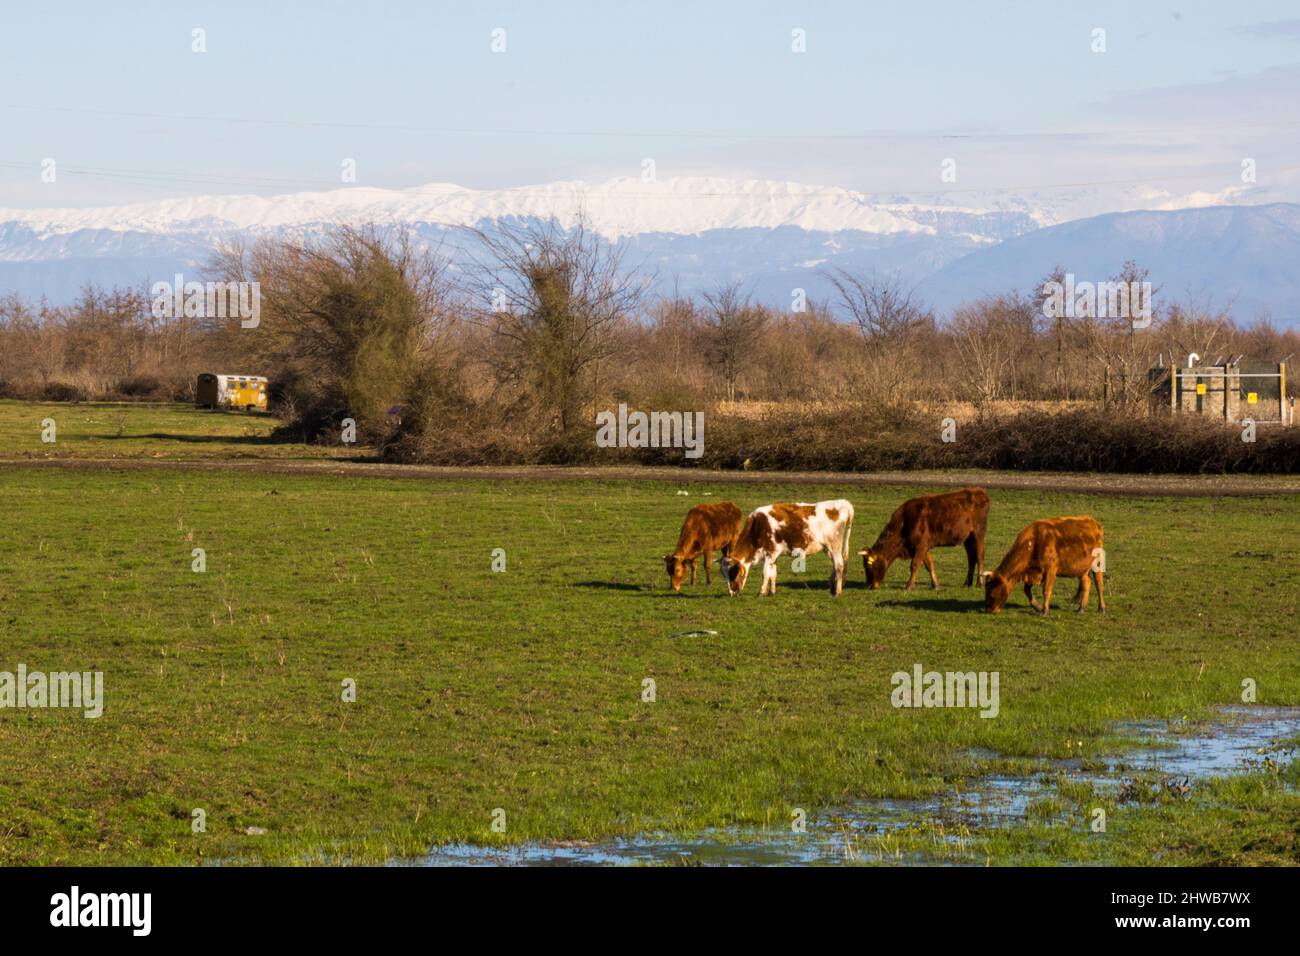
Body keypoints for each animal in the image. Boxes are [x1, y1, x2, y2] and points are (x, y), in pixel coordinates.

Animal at [723, 500, 854, 597]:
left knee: (839, 565)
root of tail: (843, 503)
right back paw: (833, 587)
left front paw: (761, 593)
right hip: (828, 548)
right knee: (835, 565)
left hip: (834, 546)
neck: (757, 526)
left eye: (733, 573)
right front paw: (772, 592)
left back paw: (837, 592)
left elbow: (765, 573)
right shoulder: (773, 555)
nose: (732, 593)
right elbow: (773, 573)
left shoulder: (770, 552)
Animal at [859, 487, 990, 591]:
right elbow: (929, 564)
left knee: (979, 556)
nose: (869, 586)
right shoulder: (923, 546)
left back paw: (979, 583)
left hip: (978, 533)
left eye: (869, 566)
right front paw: (935, 585)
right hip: (968, 538)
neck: (904, 523)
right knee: (971, 558)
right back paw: (967, 583)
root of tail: (979, 492)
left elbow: (915, 565)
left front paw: (909, 586)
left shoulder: (920, 545)